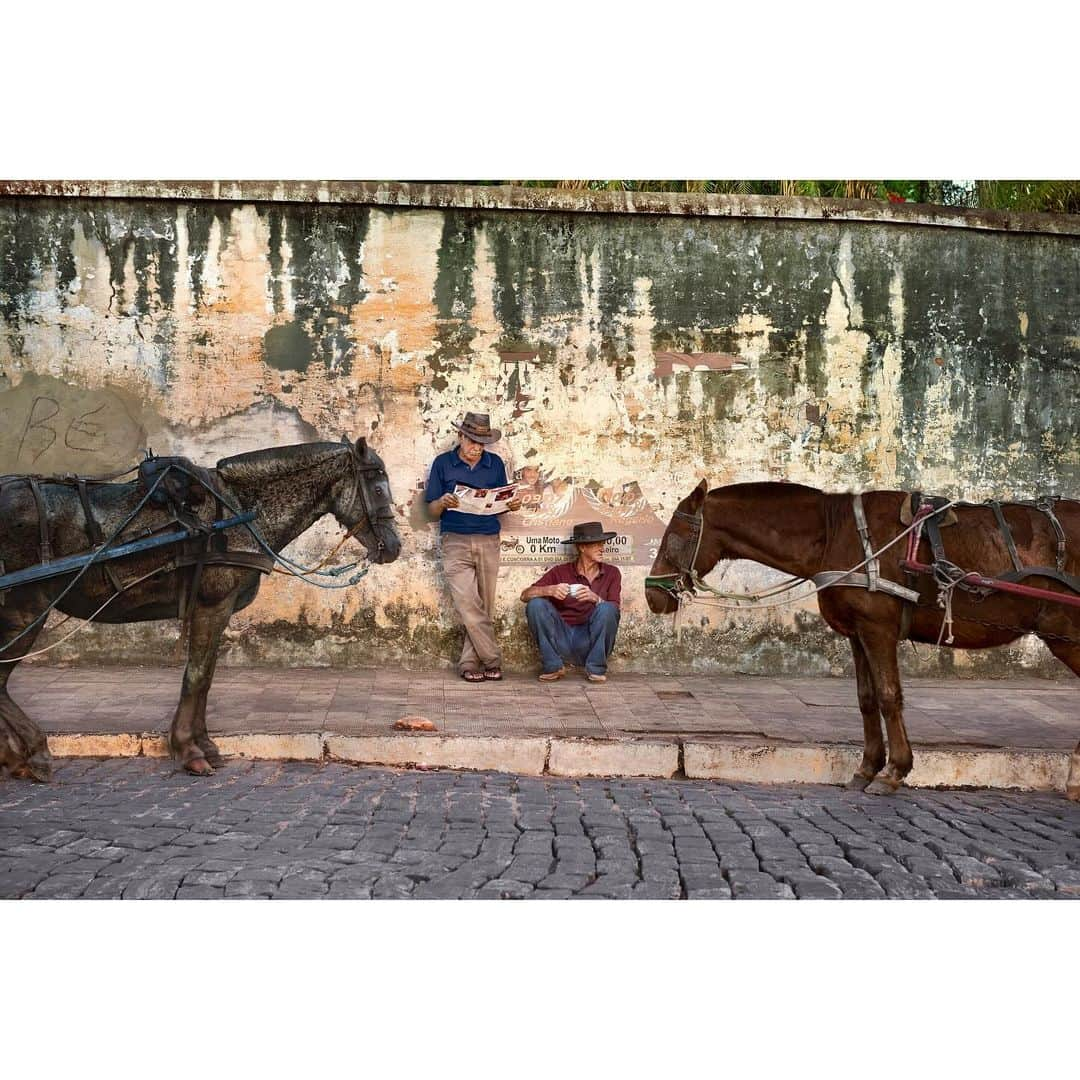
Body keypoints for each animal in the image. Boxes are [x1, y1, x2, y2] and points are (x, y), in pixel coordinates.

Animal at [0, 434, 401, 781]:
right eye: (378, 487)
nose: (394, 547)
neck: (237, 509)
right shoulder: (213, 604)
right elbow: (197, 676)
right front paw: (189, 751)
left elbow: (204, 678)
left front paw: (204, 745)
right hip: (26, 612)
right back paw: (34, 752)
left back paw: (15, 756)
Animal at [643, 486, 1075, 799]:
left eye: (675, 536)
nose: (652, 594)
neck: (835, 535)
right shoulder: (857, 633)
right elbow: (866, 700)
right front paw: (867, 768)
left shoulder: (877, 628)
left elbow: (887, 696)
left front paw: (895, 771)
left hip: (1068, 635)